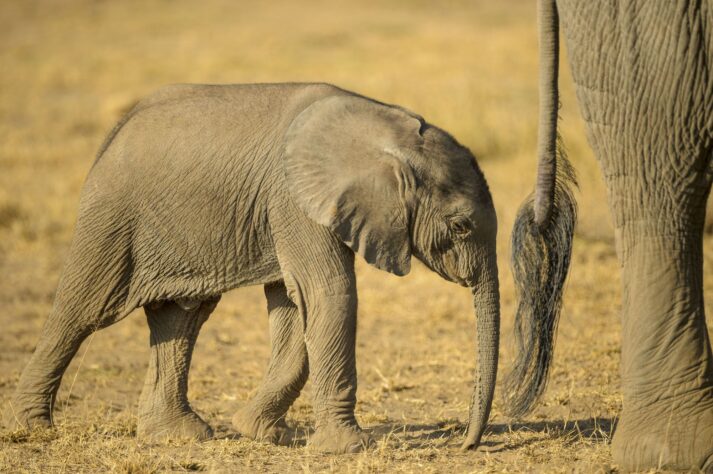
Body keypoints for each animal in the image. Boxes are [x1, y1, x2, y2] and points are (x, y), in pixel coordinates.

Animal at [5, 83, 500, 454]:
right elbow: (328, 292)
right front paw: (348, 448)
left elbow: (296, 303)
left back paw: (179, 436)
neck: (388, 128)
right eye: (460, 226)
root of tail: (115, 130)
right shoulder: (293, 197)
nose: (465, 445)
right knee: (82, 310)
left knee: (181, 318)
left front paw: (256, 431)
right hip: (112, 216)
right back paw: (33, 427)